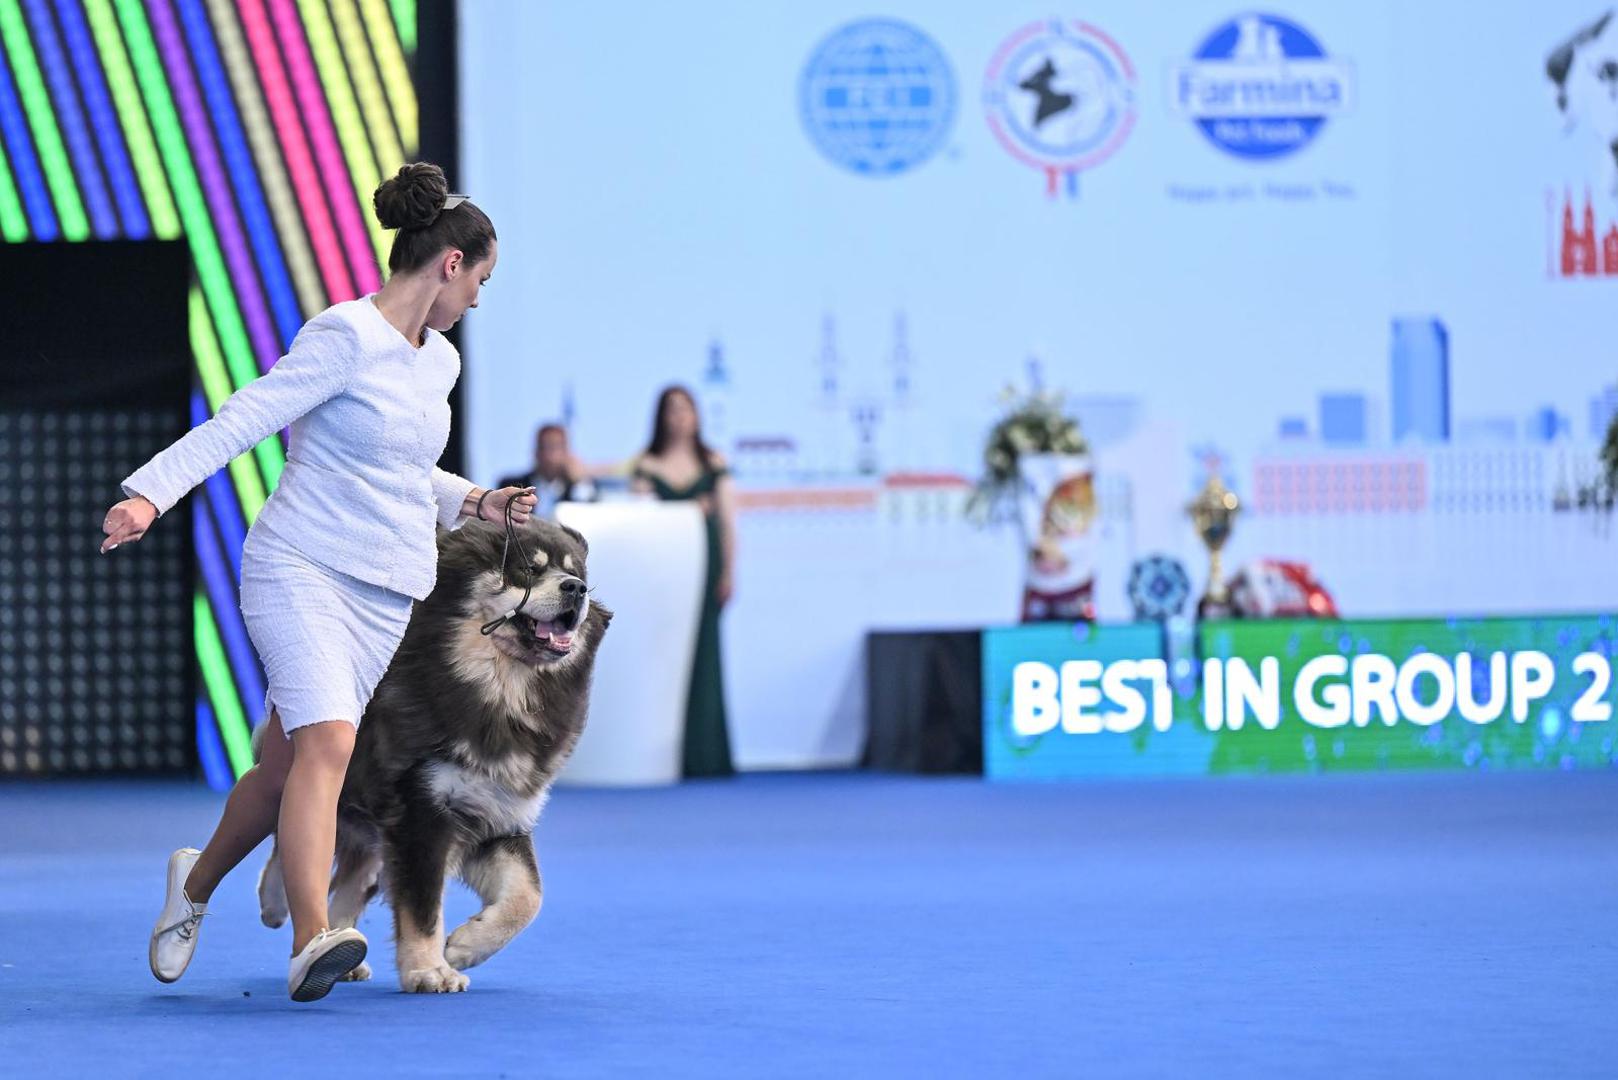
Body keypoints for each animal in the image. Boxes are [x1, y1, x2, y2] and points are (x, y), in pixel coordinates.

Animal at [255, 518, 608, 990]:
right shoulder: (421, 811)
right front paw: (429, 969)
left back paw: (340, 950)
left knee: (350, 880)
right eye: (528, 570)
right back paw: (275, 903)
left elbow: (529, 896)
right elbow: (422, 907)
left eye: (576, 573)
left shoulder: (497, 816)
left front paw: (465, 946)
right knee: (284, 833)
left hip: (372, 833)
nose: (576, 589)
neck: (501, 696)